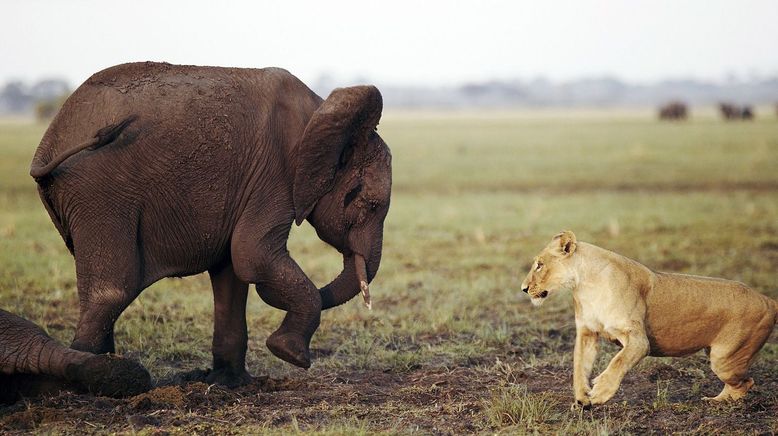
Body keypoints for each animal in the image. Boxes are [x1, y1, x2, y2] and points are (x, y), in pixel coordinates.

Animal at [28, 60, 394, 384]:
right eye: (369, 204)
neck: (320, 113)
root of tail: (48, 143)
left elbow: (232, 271)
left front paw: (230, 383)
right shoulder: (274, 174)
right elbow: (252, 255)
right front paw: (290, 354)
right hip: (100, 194)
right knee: (113, 290)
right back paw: (96, 381)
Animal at [520, 233, 772, 408]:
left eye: (539, 264)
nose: (523, 289)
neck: (585, 285)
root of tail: (769, 300)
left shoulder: (638, 339)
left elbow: (618, 362)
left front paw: (600, 393)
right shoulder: (587, 333)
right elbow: (579, 366)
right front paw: (582, 398)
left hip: (724, 358)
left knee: (746, 383)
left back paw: (721, 404)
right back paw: (714, 400)